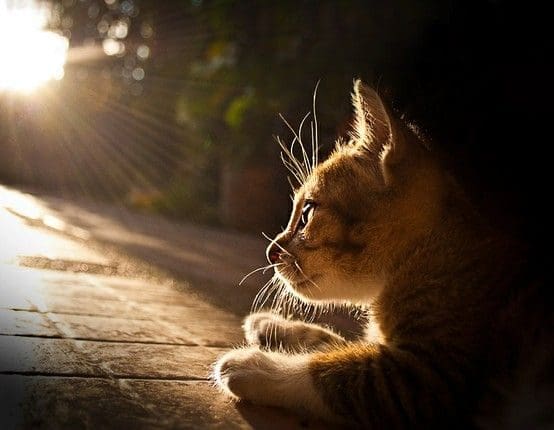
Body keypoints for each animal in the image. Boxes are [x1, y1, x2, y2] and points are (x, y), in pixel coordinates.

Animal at [212, 80, 552, 426]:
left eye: (306, 213)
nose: (270, 252)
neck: (425, 257)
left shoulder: (428, 374)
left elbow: (340, 372)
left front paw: (255, 365)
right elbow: (339, 344)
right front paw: (274, 327)